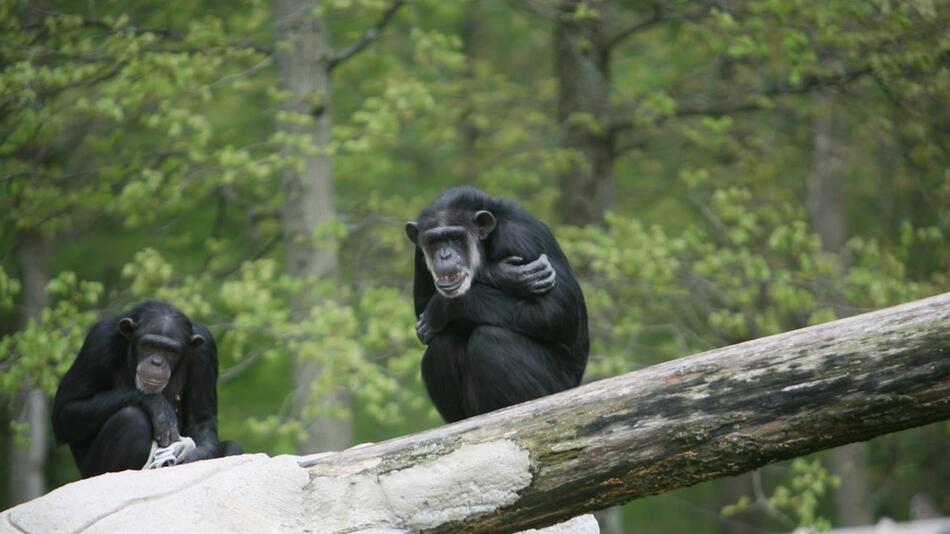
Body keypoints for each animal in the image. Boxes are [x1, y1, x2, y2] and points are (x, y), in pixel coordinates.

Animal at [52, 300, 244, 480]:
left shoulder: (206, 350)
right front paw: (158, 406)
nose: (157, 363)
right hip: (90, 471)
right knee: (131, 418)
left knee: (234, 447)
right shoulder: (100, 340)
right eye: (149, 345)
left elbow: (200, 419)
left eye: (170, 351)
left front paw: (194, 457)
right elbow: (66, 411)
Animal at [408, 187, 592, 422]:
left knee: (493, 338)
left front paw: (443, 307)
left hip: (557, 389)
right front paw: (504, 274)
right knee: (442, 344)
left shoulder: (521, 237)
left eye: (455, 238)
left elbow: (556, 312)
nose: (445, 254)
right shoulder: (419, 253)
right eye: (434, 241)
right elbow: (422, 309)